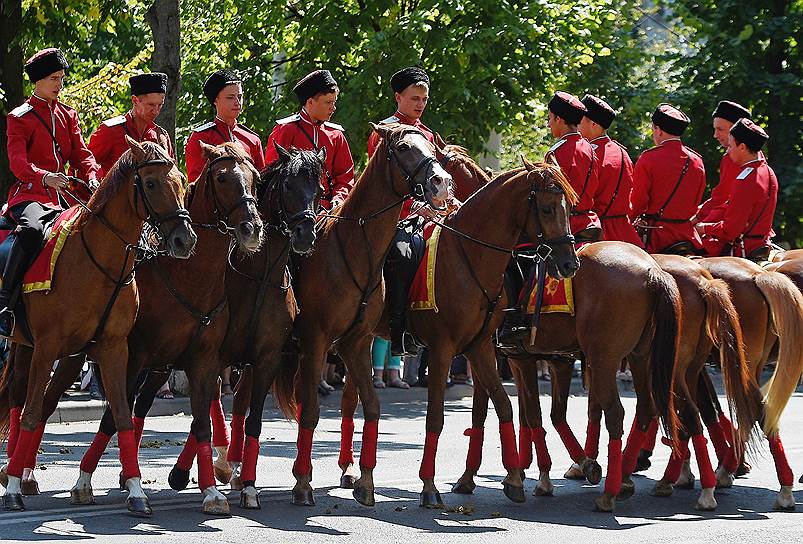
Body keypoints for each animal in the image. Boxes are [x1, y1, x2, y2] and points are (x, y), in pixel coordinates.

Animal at [0, 138, 195, 512]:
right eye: (150, 183)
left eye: (180, 180)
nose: (185, 240)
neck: (96, 261)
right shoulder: (47, 348)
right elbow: (31, 412)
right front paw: (14, 490)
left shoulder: (113, 348)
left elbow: (120, 414)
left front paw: (136, 492)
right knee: (23, 402)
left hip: (45, 350)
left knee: (29, 399)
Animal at [288, 122, 452, 506]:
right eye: (405, 147)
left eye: (431, 145)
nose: (441, 183)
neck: (353, 248)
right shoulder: (316, 339)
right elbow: (312, 410)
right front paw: (303, 482)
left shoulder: (355, 341)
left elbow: (372, 406)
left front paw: (365, 479)